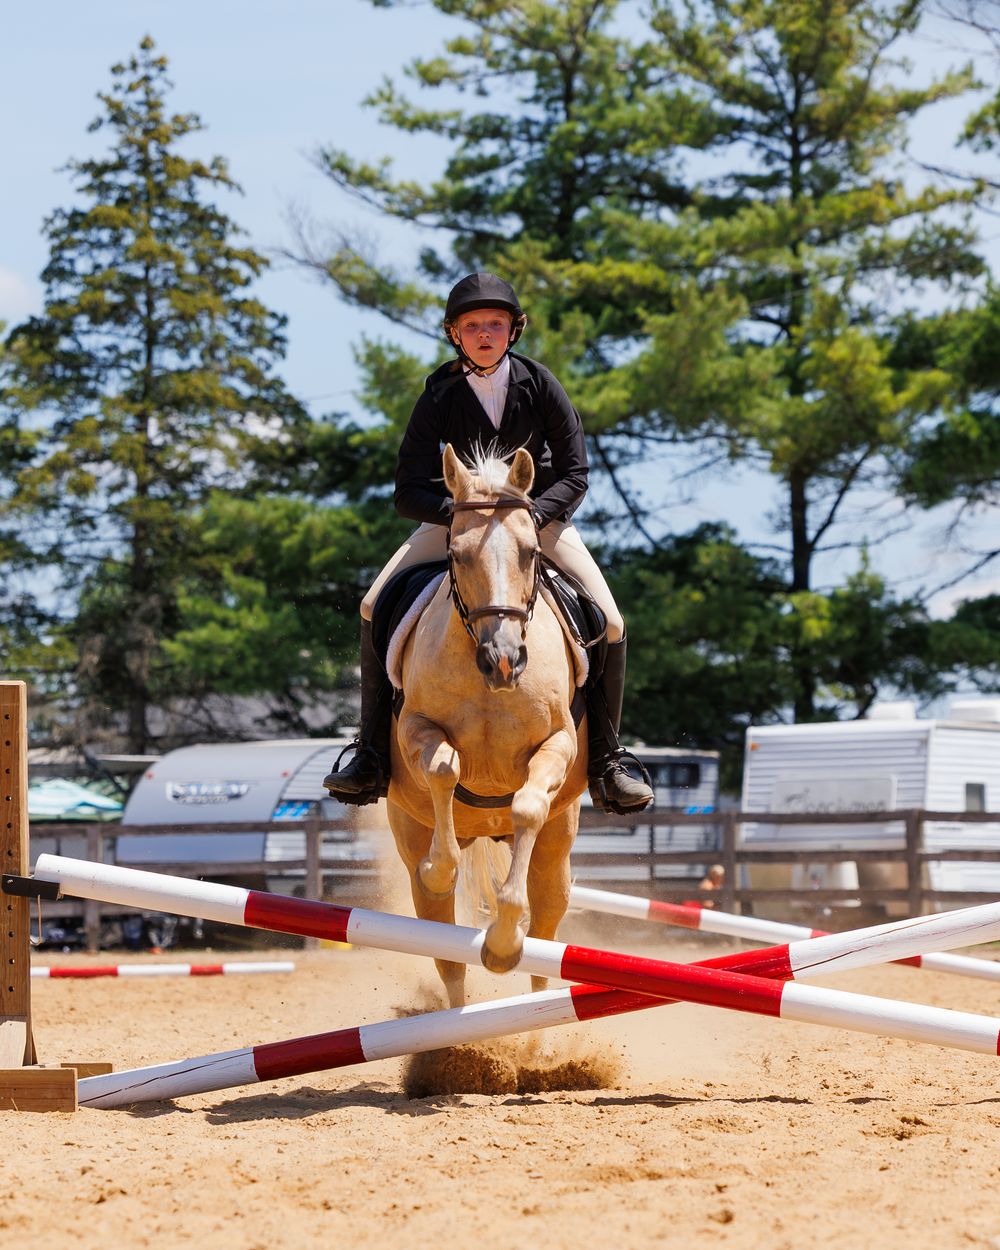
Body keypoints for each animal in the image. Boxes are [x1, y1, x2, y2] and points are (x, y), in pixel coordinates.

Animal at [386, 443, 587, 1008]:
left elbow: (526, 806)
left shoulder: (557, 745)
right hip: (409, 834)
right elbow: (443, 769)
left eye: (531, 553)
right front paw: (441, 869)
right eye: (457, 554)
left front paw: (502, 942)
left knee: (546, 939)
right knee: (446, 956)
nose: (504, 661)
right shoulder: (415, 727)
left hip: (557, 854)